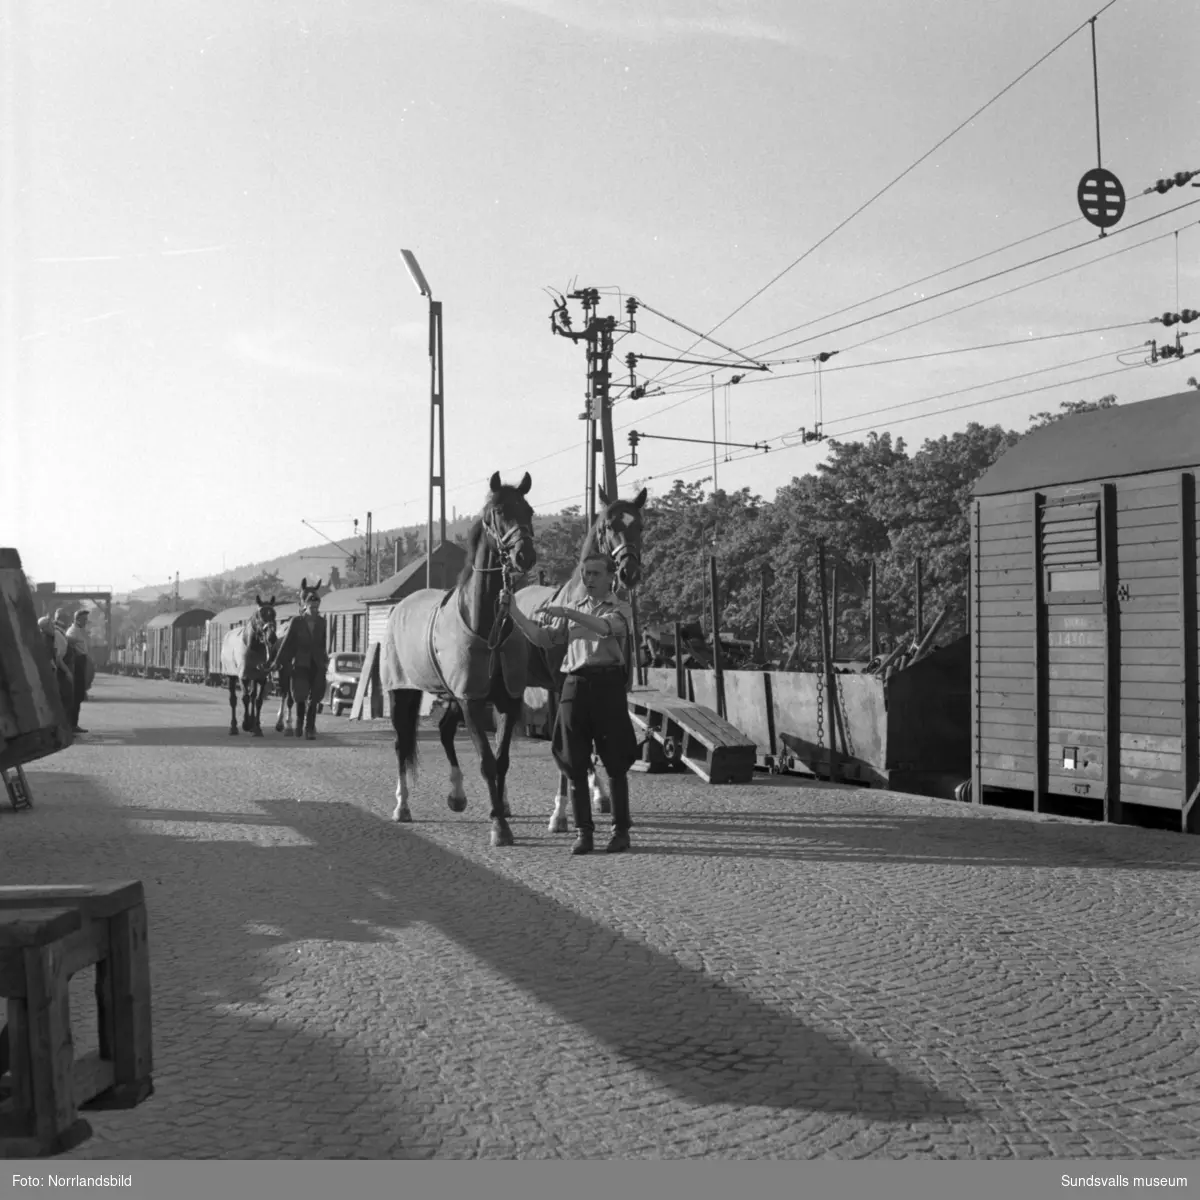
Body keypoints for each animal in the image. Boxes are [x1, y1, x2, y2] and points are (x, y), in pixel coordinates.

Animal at [219, 595, 277, 734]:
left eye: (274, 614)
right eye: (259, 615)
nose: (271, 637)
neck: (253, 647)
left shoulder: (260, 677)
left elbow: (258, 700)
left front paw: (257, 727)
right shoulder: (243, 676)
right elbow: (244, 698)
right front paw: (246, 723)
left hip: (253, 677)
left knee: (253, 697)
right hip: (231, 676)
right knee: (233, 700)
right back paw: (234, 727)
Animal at [381, 472, 537, 849]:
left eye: (529, 510)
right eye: (498, 511)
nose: (525, 555)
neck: (486, 622)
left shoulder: (504, 699)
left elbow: (502, 759)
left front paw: (500, 810)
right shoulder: (471, 699)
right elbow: (487, 761)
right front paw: (498, 827)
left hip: (452, 695)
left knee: (445, 731)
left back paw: (457, 794)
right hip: (402, 690)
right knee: (400, 743)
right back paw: (402, 805)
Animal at [516, 482, 648, 830]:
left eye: (640, 525)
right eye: (608, 526)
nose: (629, 572)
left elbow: (596, 746)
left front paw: (601, 796)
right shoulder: (565, 688)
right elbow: (569, 749)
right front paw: (560, 812)